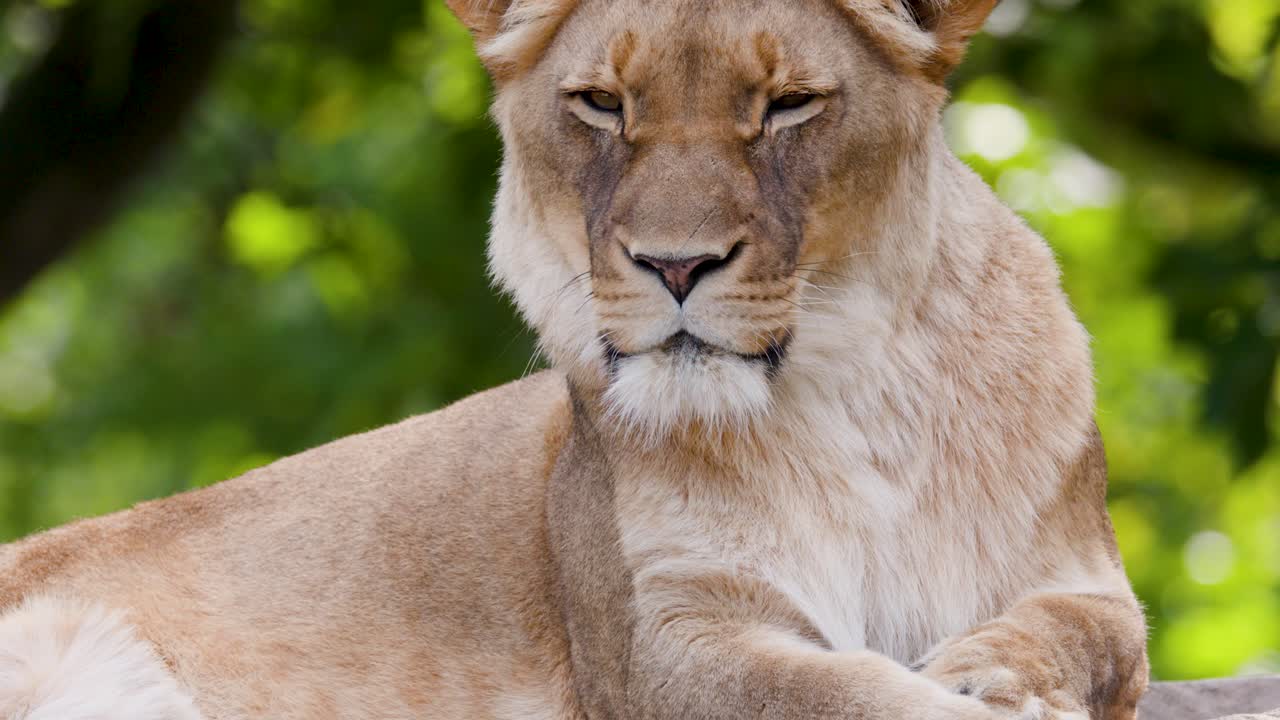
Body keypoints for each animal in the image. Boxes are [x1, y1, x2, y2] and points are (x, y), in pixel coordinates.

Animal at [0, 0, 1150, 718]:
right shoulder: (665, 647)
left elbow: (1091, 634)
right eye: (602, 103)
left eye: (786, 105)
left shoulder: (1082, 571)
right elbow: (841, 695)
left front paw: (996, 672)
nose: (675, 264)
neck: (853, 398)